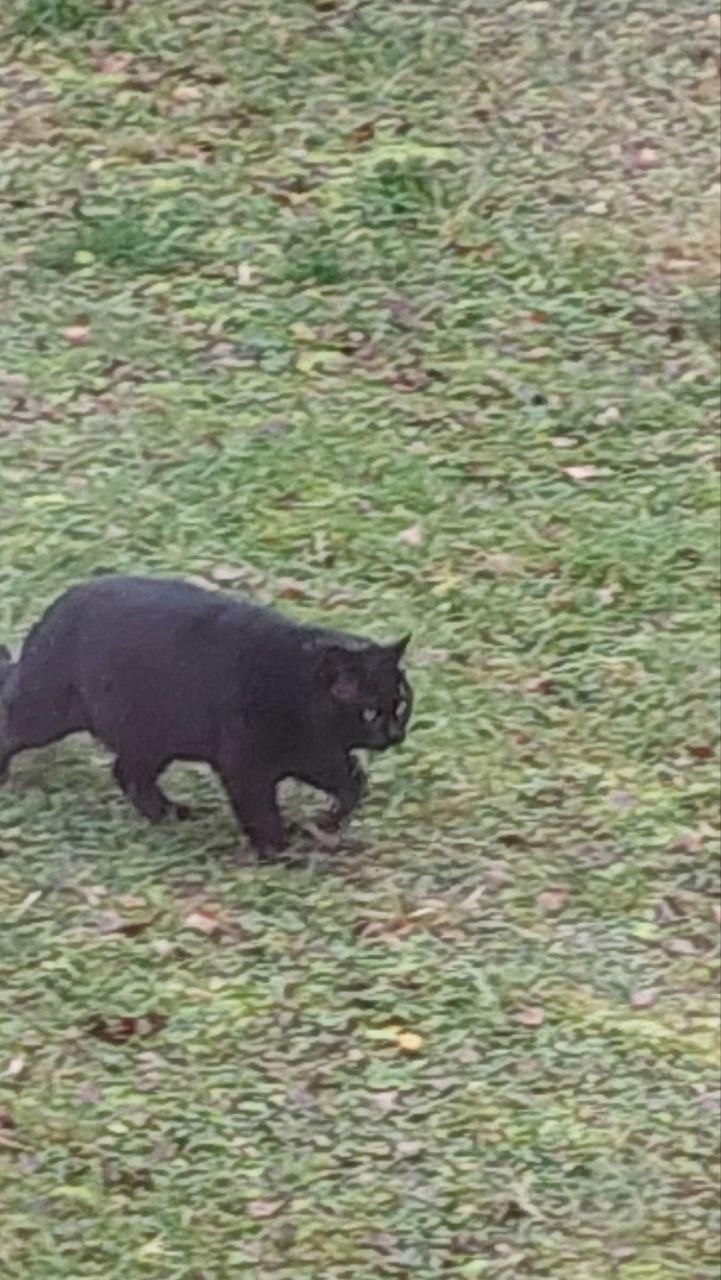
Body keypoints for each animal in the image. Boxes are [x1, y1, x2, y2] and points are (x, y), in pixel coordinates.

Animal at [0, 576, 413, 855]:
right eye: (369, 711)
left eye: (402, 703)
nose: (395, 734)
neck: (295, 684)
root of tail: (56, 608)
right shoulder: (246, 766)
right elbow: (262, 813)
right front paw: (282, 851)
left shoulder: (316, 757)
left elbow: (353, 785)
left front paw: (326, 822)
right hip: (46, 711)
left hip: (150, 739)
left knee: (127, 775)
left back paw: (172, 815)